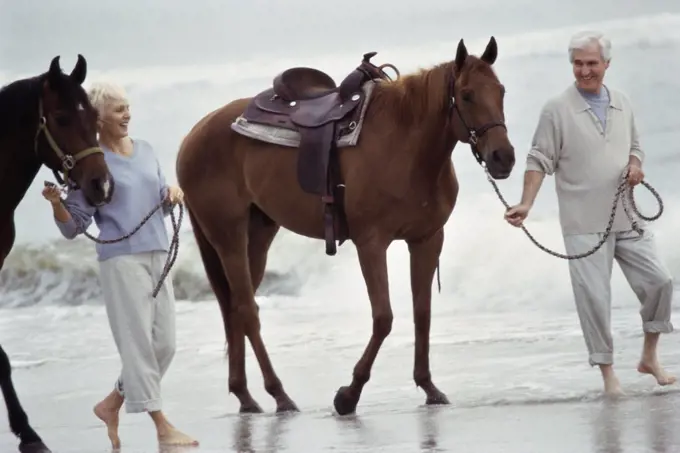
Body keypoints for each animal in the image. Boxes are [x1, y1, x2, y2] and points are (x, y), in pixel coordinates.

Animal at [175, 37, 516, 414]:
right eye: (467, 95)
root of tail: (193, 135)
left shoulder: (426, 240)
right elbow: (383, 317)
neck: (406, 146)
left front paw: (428, 387)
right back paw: (279, 394)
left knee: (236, 307)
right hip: (228, 237)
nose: (504, 157)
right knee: (248, 310)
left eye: (500, 91)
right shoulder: (371, 243)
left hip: (259, 235)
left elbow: (422, 313)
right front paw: (349, 394)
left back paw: (246, 396)